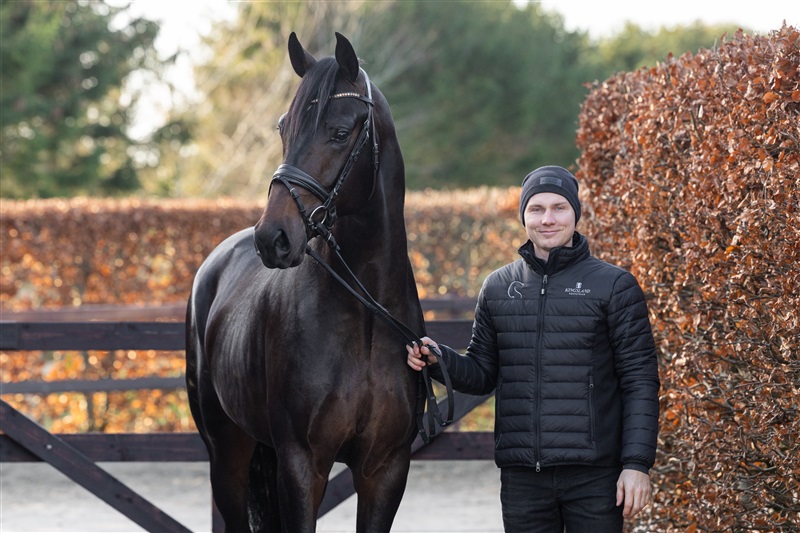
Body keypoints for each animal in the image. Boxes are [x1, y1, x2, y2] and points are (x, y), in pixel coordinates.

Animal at [185, 32, 427, 532]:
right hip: (226, 452)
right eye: (284, 128)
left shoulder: (385, 467)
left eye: (339, 132)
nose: (273, 238)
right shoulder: (302, 463)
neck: (365, 318)